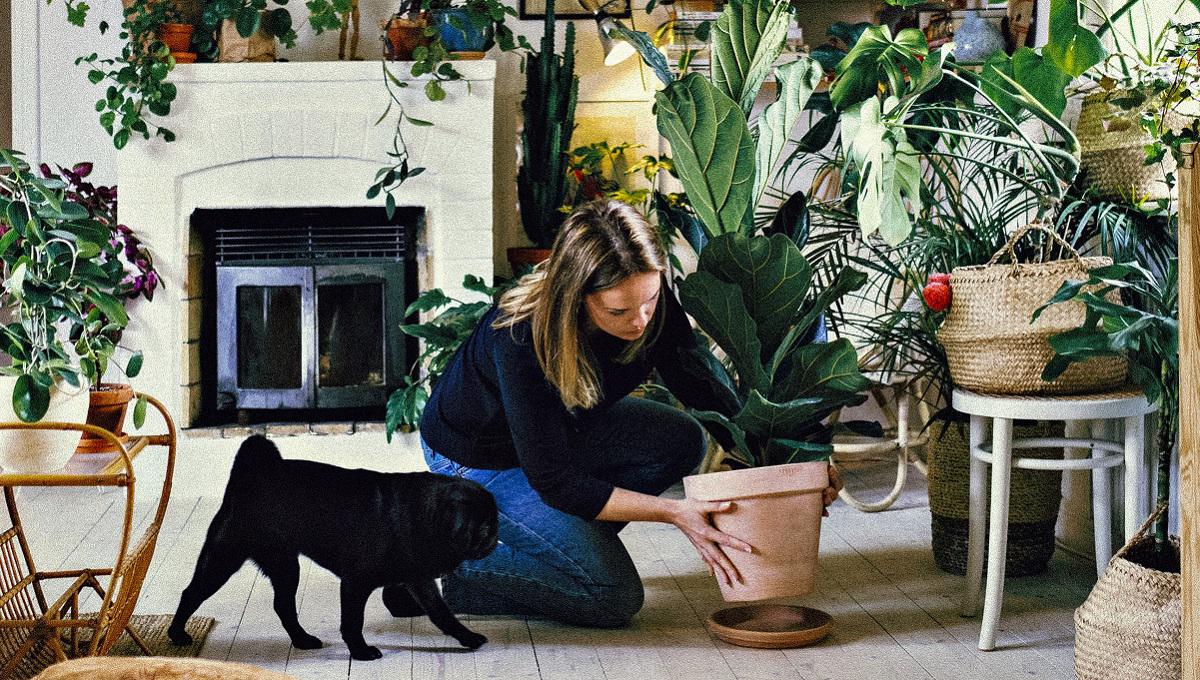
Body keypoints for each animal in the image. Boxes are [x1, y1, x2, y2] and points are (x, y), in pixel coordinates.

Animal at [168, 434, 496, 662]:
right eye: (479, 529)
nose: (493, 537)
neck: (423, 516)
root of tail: (253, 475)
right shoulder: (355, 583)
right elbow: (352, 621)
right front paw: (361, 652)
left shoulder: (420, 581)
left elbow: (442, 614)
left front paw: (466, 638)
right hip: (224, 557)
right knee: (191, 593)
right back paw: (176, 633)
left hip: (285, 565)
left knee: (283, 605)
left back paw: (302, 640)